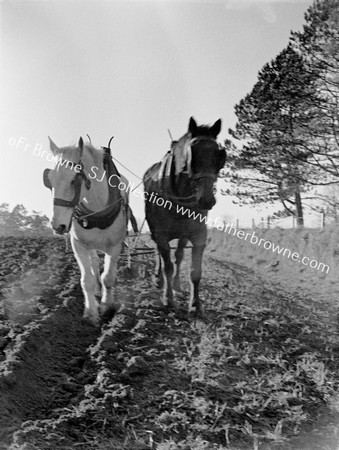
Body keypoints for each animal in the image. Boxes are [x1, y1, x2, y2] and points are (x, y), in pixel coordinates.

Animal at [43, 135, 137, 326]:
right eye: (49, 180)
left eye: (74, 179)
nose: (57, 225)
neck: (97, 208)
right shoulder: (79, 245)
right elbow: (87, 280)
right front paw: (91, 312)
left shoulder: (115, 246)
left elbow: (108, 277)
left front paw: (107, 307)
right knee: (93, 263)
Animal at [143, 117, 226, 316]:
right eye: (192, 152)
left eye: (219, 154)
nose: (206, 200)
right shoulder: (161, 235)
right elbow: (167, 265)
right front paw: (168, 299)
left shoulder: (198, 234)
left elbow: (195, 271)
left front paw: (195, 304)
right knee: (159, 253)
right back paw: (158, 279)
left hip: (183, 234)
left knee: (179, 255)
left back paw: (176, 283)